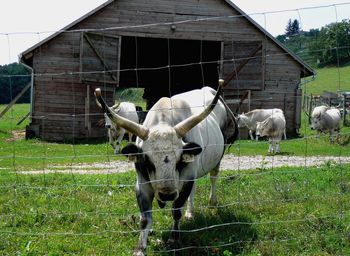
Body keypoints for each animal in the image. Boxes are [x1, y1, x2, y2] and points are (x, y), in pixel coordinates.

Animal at [94, 82, 239, 256]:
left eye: (178, 161)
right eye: (148, 161)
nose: (167, 195)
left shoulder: (186, 177)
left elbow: (176, 210)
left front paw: (173, 239)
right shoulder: (142, 183)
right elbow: (145, 219)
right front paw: (140, 248)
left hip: (216, 158)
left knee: (213, 177)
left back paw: (212, 201)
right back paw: (190, 213)